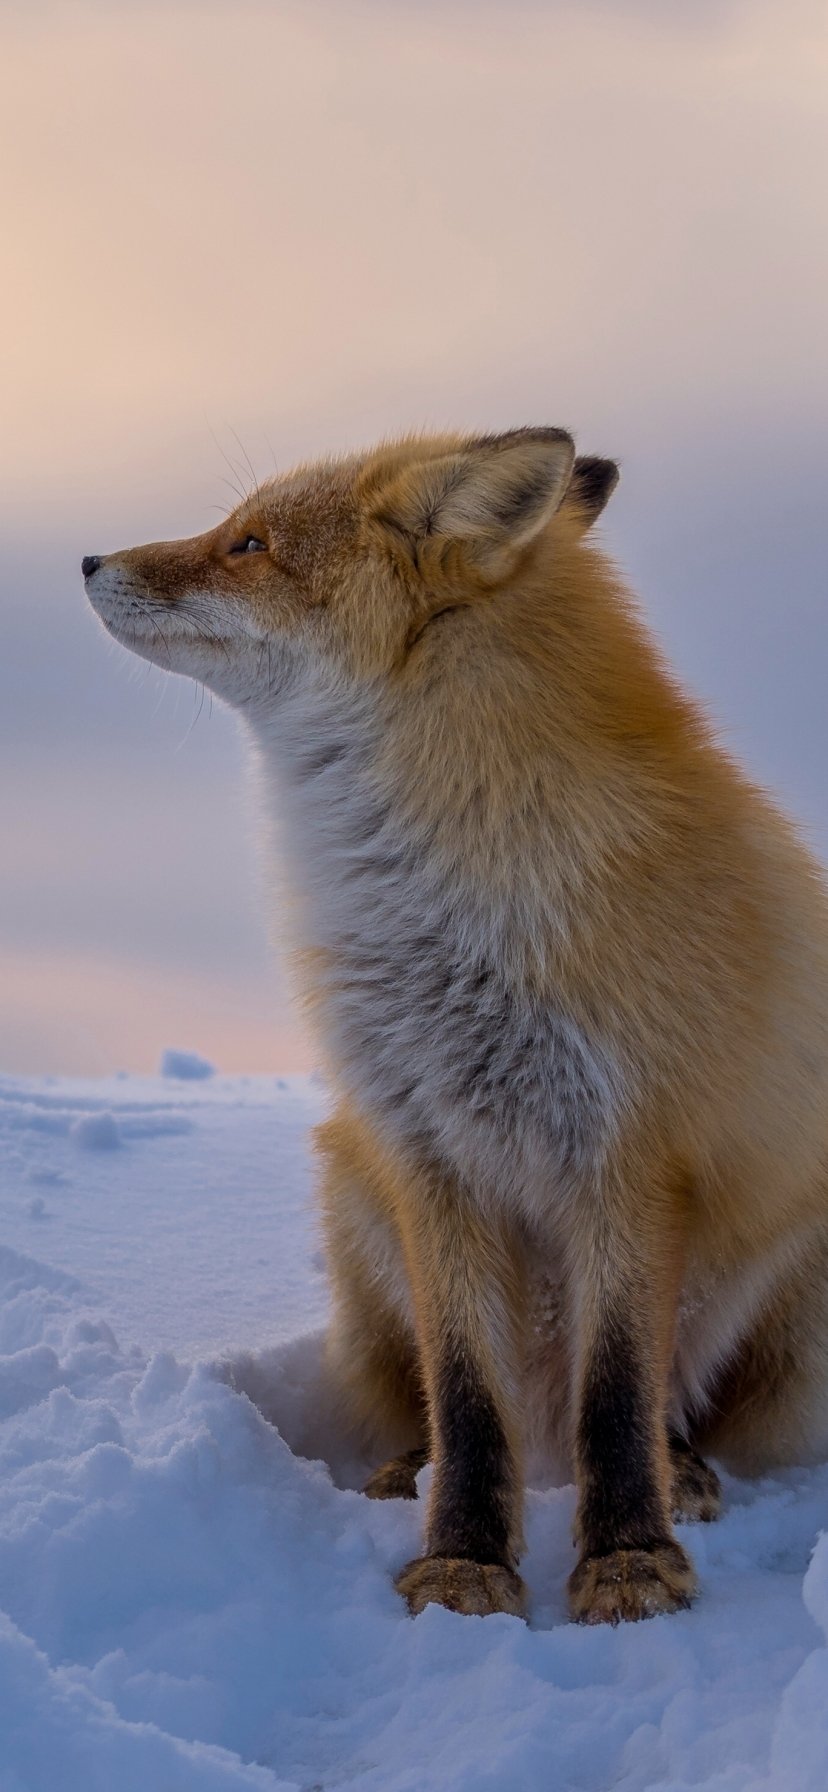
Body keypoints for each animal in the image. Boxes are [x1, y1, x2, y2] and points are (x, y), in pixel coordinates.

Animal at [83, 426, 828, 1626]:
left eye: (249, 544)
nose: (88, 559)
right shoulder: (424, 1146)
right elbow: (468, 1397)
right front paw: (463, 1564)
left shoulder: (630, 1153)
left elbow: (618, 1395)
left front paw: (628, 1559)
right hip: (353, 1191)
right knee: (436, 1398)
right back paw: (409, 1469)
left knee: (659, 1408)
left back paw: (686, 1474)